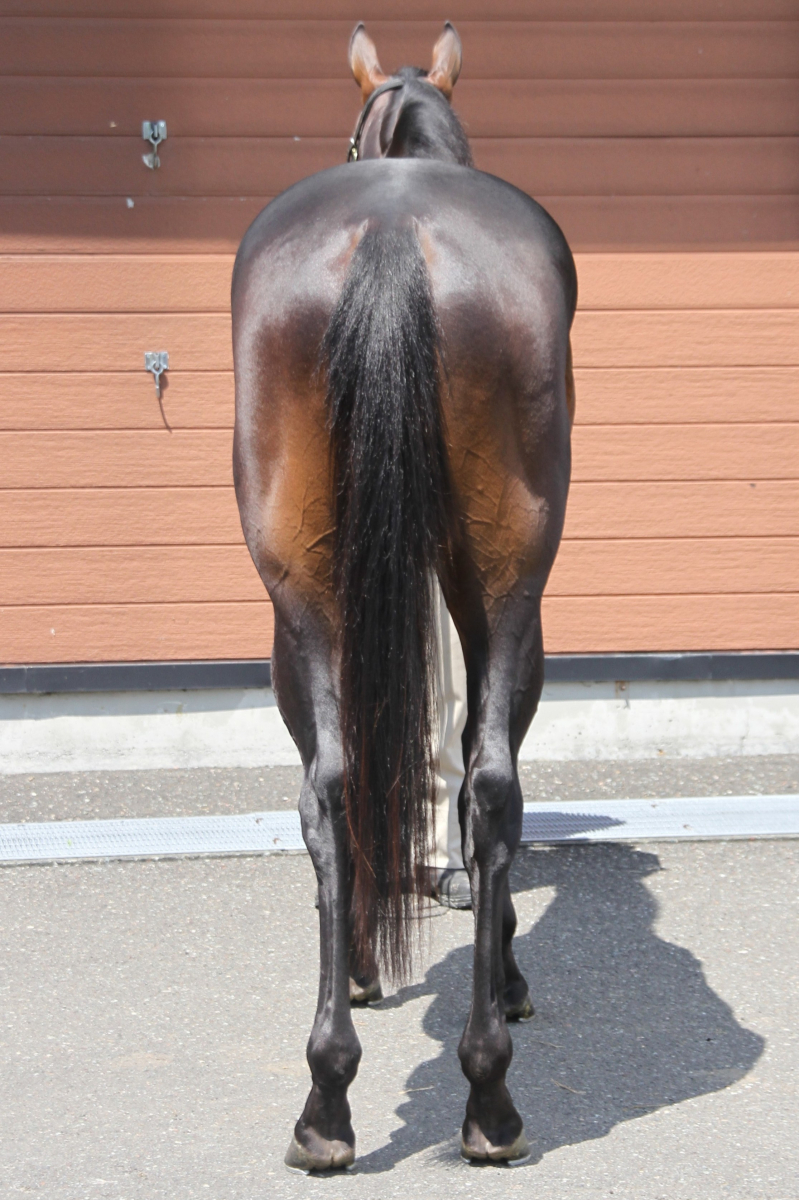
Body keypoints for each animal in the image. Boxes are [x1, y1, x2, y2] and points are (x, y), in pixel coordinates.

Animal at [232, 21, 576, 1171]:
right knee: (484, 783)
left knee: (337, 788)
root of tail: (390, 231)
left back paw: (335, 1098)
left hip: (306, 592)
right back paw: (484, 1095)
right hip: (503, 581)